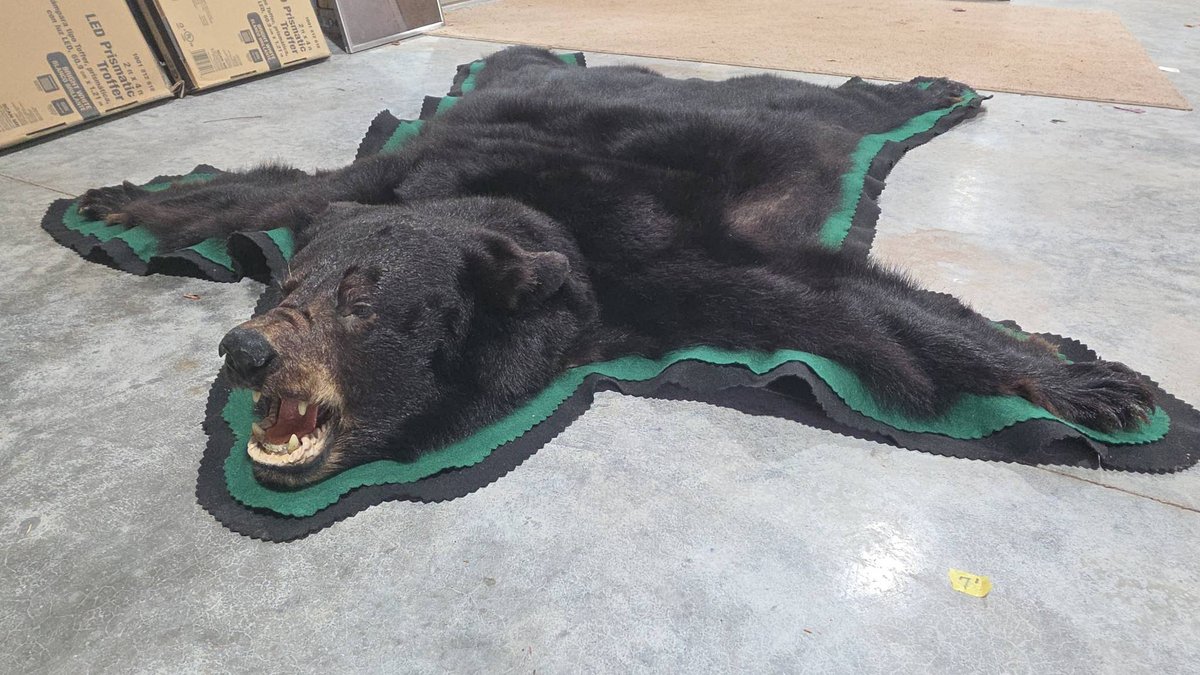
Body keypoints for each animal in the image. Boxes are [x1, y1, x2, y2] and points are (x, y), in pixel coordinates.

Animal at [77, 46, 1155, 488]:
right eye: (287, 287)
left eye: (364, 306)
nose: (246, 349)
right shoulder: (379, 180)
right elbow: (273, 194)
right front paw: (127, 201)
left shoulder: (650, 249)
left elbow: (843, 306)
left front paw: (1080, 379)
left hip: (770, 111)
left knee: (836, 106)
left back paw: (929, 88)